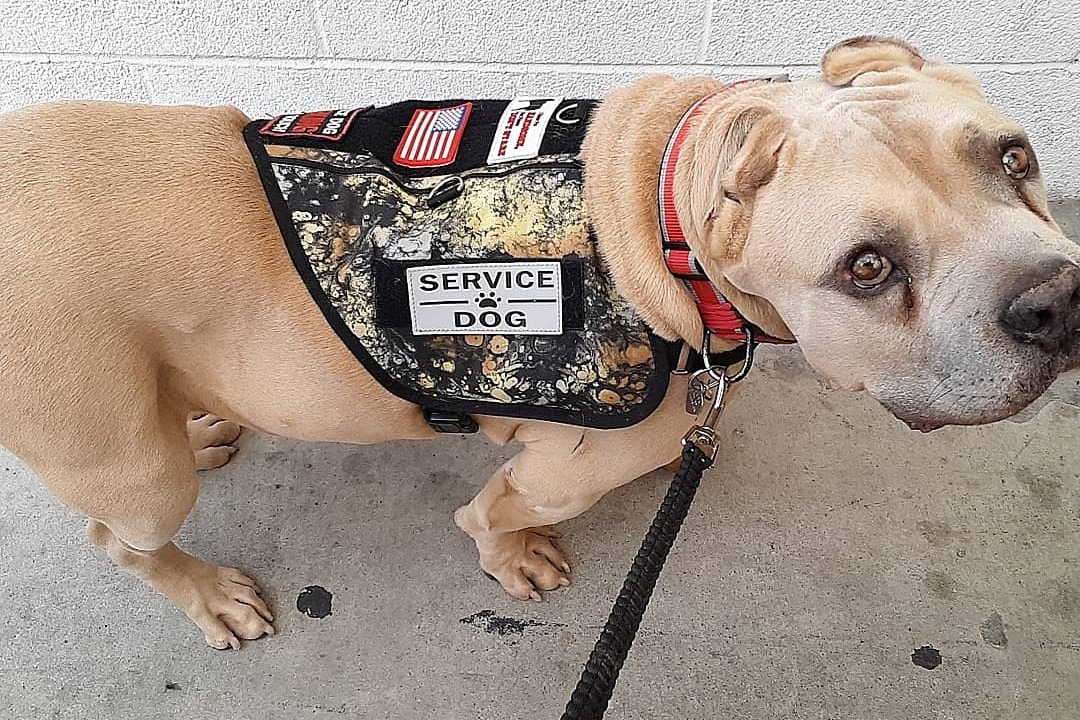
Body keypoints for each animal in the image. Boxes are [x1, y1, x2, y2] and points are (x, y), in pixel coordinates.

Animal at [0, 36, 1077, 650]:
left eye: (1014, 157)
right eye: (867, 266)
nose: (1057, 300)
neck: (661, 209)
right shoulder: (576, 461)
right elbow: (495, 512)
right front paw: (511, 554)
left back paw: (204, 423)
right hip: (134, 473)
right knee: (119, 534)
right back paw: (206, 593)